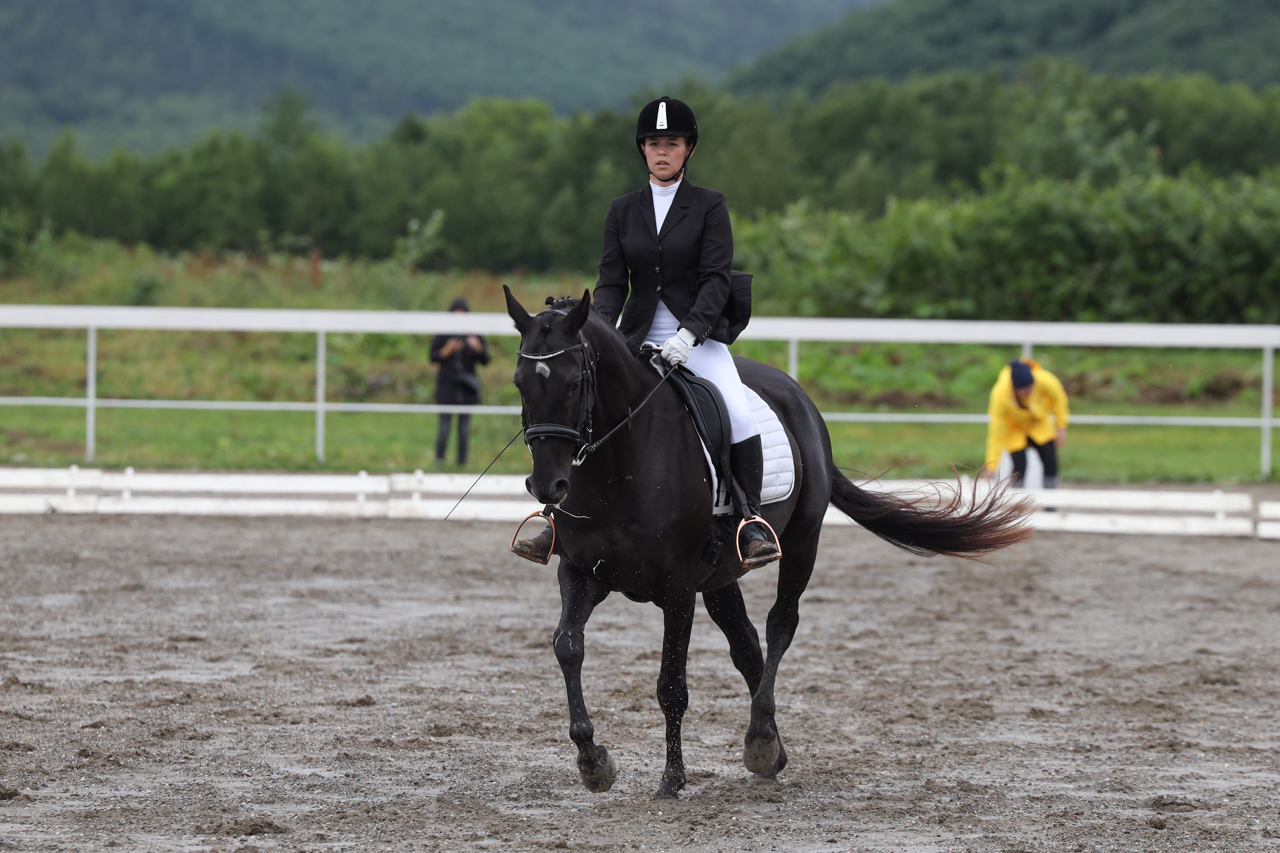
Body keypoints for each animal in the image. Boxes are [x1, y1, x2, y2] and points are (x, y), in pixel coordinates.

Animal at [504, 286, 1034, 799]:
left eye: (574, 383)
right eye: (519, 384)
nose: (547, 486)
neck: (621, 463)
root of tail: (797, 396)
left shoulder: (677, 589)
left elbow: (671, 684)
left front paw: (672, 780)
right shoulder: (580, 572)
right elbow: (567, 647)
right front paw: (593, 761)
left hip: (801, 543)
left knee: (780, 624)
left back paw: (760, 741)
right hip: (720, 575)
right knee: (746, 645)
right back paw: (772, 750)